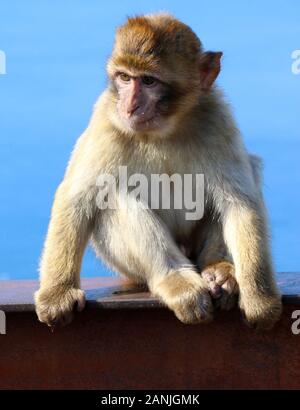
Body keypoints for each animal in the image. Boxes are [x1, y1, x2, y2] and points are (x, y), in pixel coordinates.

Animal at [34, 12, 282, 330]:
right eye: (124, 78)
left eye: (149, 81)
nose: (130, 106)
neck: (164, 129)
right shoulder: (106, 120)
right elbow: (76, 197)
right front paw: (57, 293)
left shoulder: (217, 116)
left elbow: (239, 203)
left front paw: (260, 299)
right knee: (112, 195)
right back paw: (176, 281)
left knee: (249, 169)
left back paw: (219, 270)